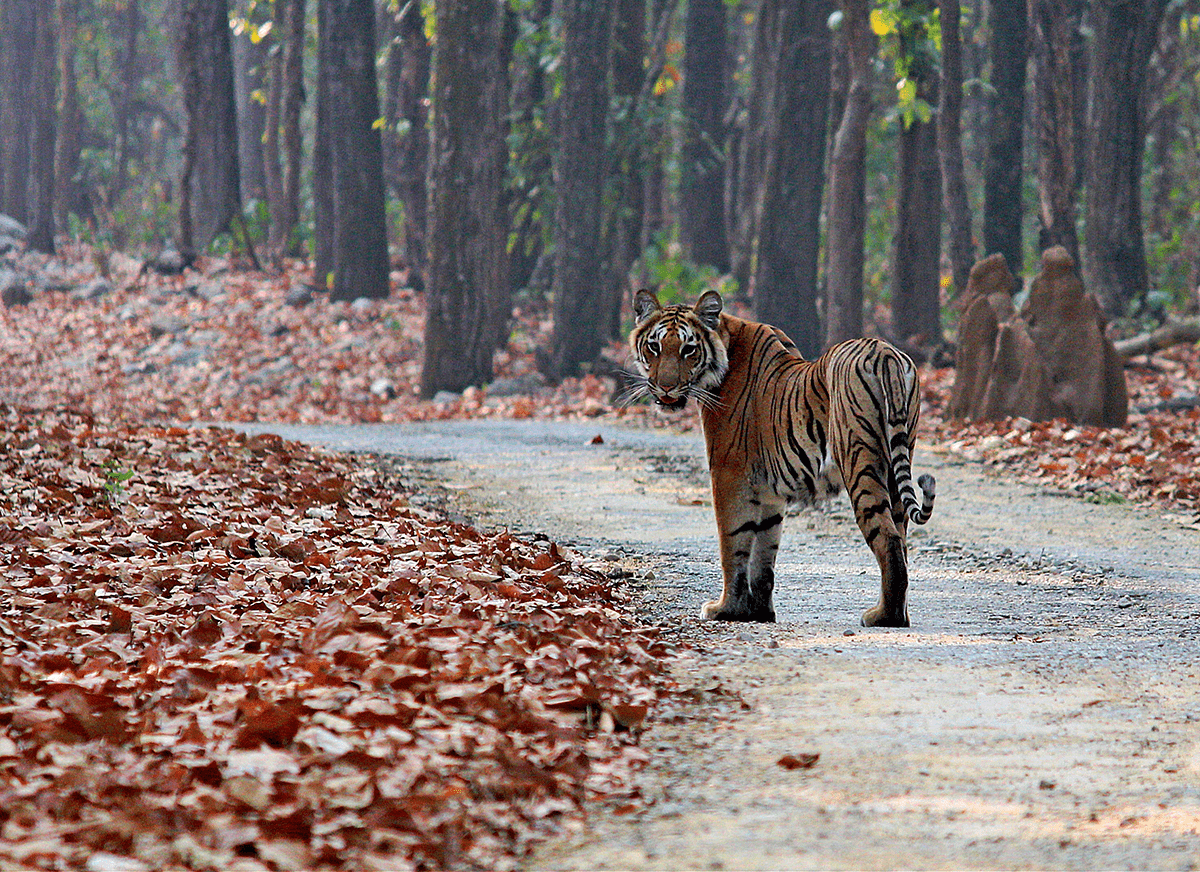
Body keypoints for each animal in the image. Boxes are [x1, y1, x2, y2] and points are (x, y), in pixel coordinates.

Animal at [627, 288, 936, 627]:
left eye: (688, 350)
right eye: (654, 347)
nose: (666, 388)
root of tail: (885, 352)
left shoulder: (729, 474)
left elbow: (732, 545)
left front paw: (725, 609)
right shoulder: (768, 491)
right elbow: (764, 553)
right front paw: (759, 612)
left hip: (860, 461)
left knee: (888, 539)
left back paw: (883, 616)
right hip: (898, 461)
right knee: (901, 540)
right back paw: (898, 613)